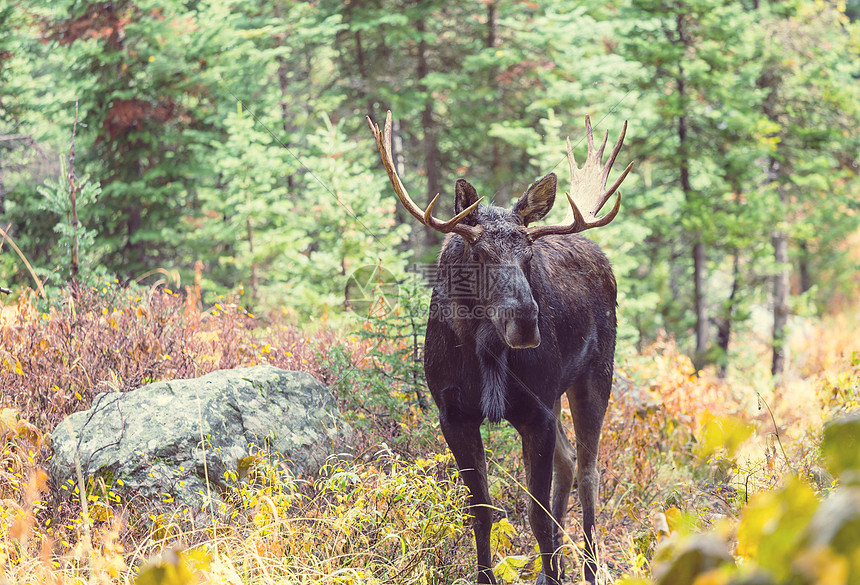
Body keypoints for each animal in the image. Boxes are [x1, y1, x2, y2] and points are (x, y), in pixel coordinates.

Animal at [366, 110, 636, 584]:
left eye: (528, 254)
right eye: (479, 254)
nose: (526, 322)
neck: (486, 354)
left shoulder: (537, 412)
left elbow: (536, 515)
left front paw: (552, 570)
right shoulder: (453, 413)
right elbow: (482, 510)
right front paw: (491, 574)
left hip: (594, 375)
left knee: (588, 473)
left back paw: (586, 569)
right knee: (569, 461)